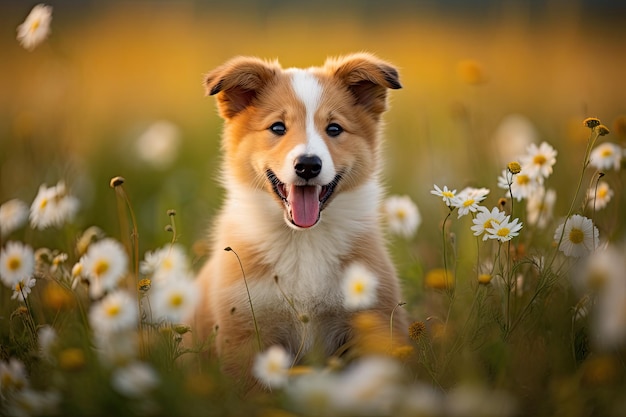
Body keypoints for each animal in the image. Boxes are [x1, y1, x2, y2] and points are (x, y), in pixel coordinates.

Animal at [190, 53, 404, 388]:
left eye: (334, 129)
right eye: (278, 127)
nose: (307, 165)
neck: (304, 242)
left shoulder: (375, 320)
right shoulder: (244, 334)